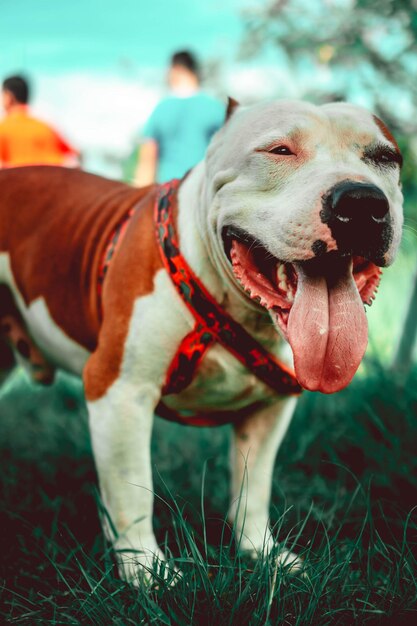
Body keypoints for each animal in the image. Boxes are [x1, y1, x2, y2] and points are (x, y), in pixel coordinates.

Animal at [0, 97, 404, 580]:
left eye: (386, 158)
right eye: (279, 150)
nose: (362, 202)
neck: (238, 308)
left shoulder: (270, 410)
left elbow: (254, 487)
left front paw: (261, 553)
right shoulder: (120, 392)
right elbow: (131, 488)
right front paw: (146, 571)